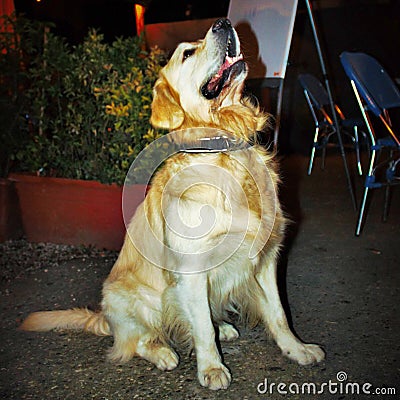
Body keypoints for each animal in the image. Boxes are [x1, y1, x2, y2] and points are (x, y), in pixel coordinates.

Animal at [19, 19, 324, 390]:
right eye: (187, 54)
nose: (224, 23)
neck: (224, 145)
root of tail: (105, 317)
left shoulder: (266, 257)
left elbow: (279, 314)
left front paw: (297, 349)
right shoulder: (191, 270)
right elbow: (202, 328)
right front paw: (212, 368)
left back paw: (224, 327)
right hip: (136, 299)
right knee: (135, 341)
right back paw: (163, 353)